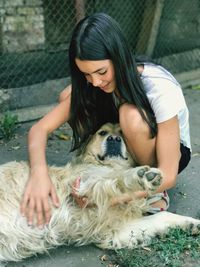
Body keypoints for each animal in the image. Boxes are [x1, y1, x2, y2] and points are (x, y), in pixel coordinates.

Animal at [0, 123, 199, 262]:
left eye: (122, 133)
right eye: (102, 132)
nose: (114, 139)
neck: (110, 165)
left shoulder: (116, 228)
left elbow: (162, 216)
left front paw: (192, 223)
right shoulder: (84, 184)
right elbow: (117, 180)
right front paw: (141, 177)